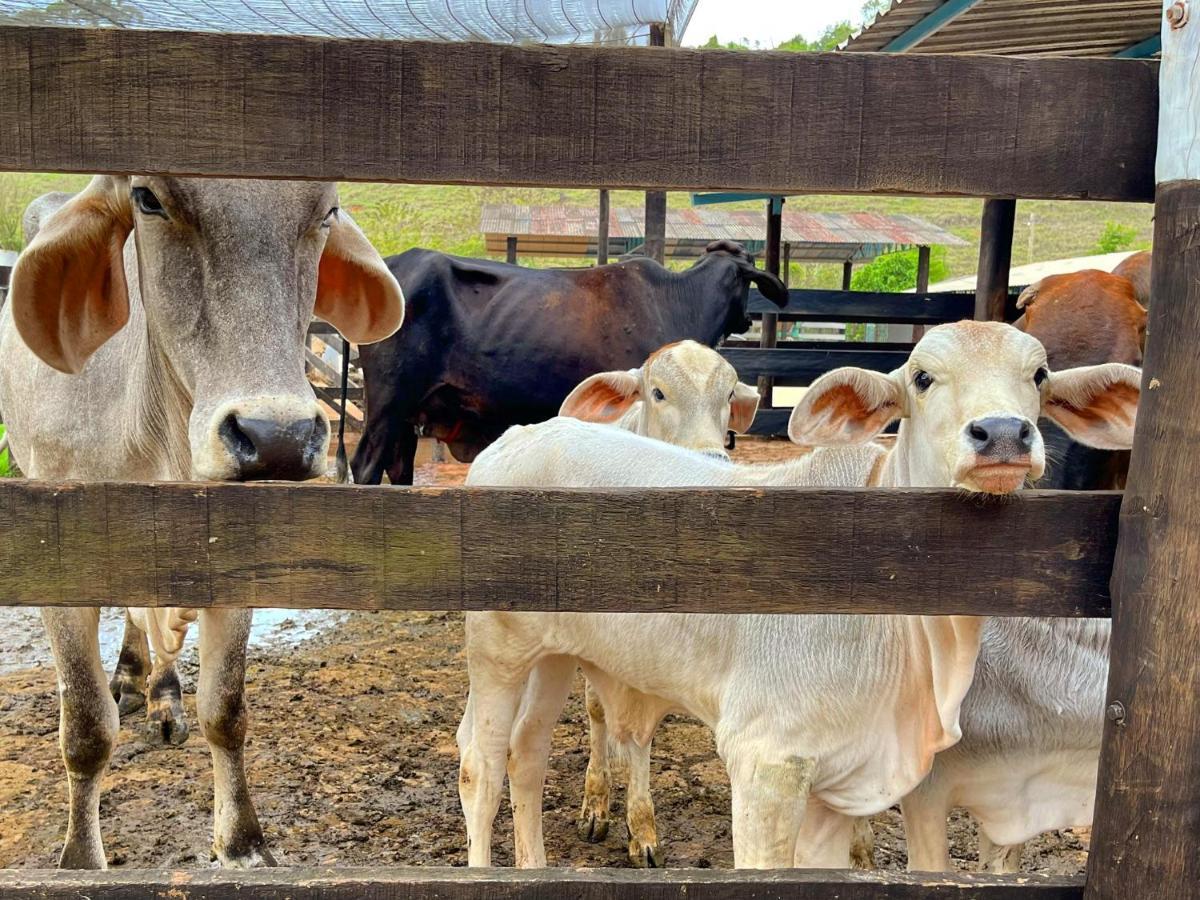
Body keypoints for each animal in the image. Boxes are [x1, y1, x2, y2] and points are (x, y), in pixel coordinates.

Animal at [0, 172, 403, 868]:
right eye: (148, 198)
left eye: (327, 209)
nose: (277, 439)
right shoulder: (56, 566)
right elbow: (85, 727)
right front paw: (80, 858)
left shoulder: (237, 568)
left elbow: (226, 710)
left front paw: (243, 844)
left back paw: (158, 692)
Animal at [350, 236, 792, 482]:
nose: (748, 318)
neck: (679, 298)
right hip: (388, 400)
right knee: (367, 465)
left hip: (408, 414)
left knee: (399, 468)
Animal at [453, 321, 1137, 868]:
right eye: (922, 377)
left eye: (1039, 375)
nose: (1001, 433)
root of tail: (517, 436)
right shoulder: (764, 762)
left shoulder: (841, 781)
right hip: (495, 650)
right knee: (480, 766)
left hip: (552, 654)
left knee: (526, 754)